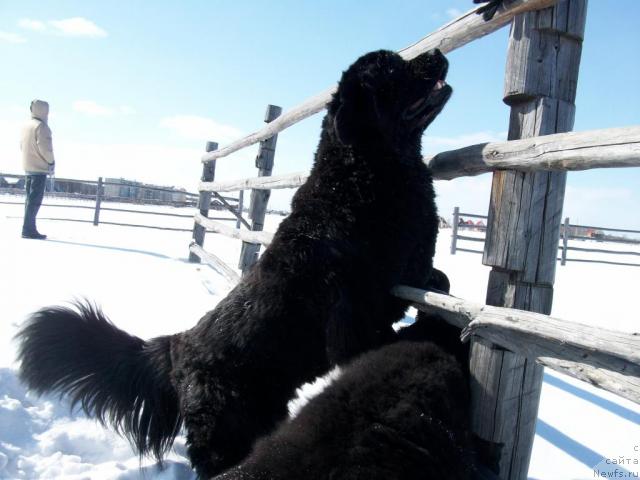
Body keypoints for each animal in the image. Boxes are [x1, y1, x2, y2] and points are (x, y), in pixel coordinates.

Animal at [17, 48, 452, 476]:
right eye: (390, 67)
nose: (436, 51)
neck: (358, 178)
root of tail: (177, 348)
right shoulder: (352, 318)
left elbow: (439, 278)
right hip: (228, 430)